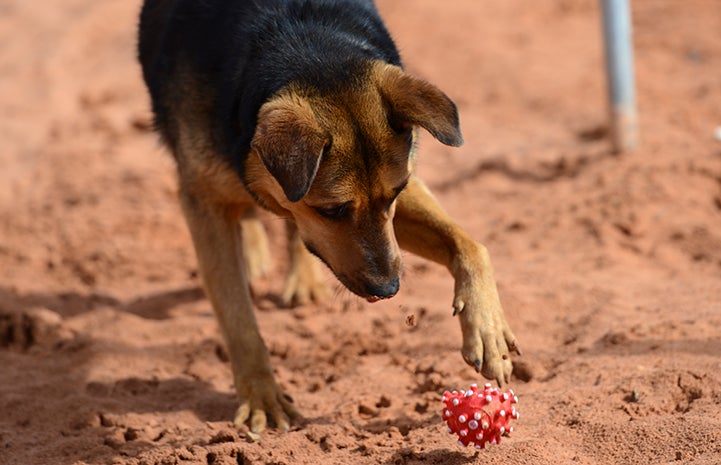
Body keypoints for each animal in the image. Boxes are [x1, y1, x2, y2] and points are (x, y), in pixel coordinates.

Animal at [136, 0, 516, 434]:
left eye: (395, 193)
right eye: (331, 210)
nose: (389, 290)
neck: (306, 49)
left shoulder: (401, 199)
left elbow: (470, 244)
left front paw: (488, 331)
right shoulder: (204, 201)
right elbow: (237, 316)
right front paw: (262, 397)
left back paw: (301, 276)